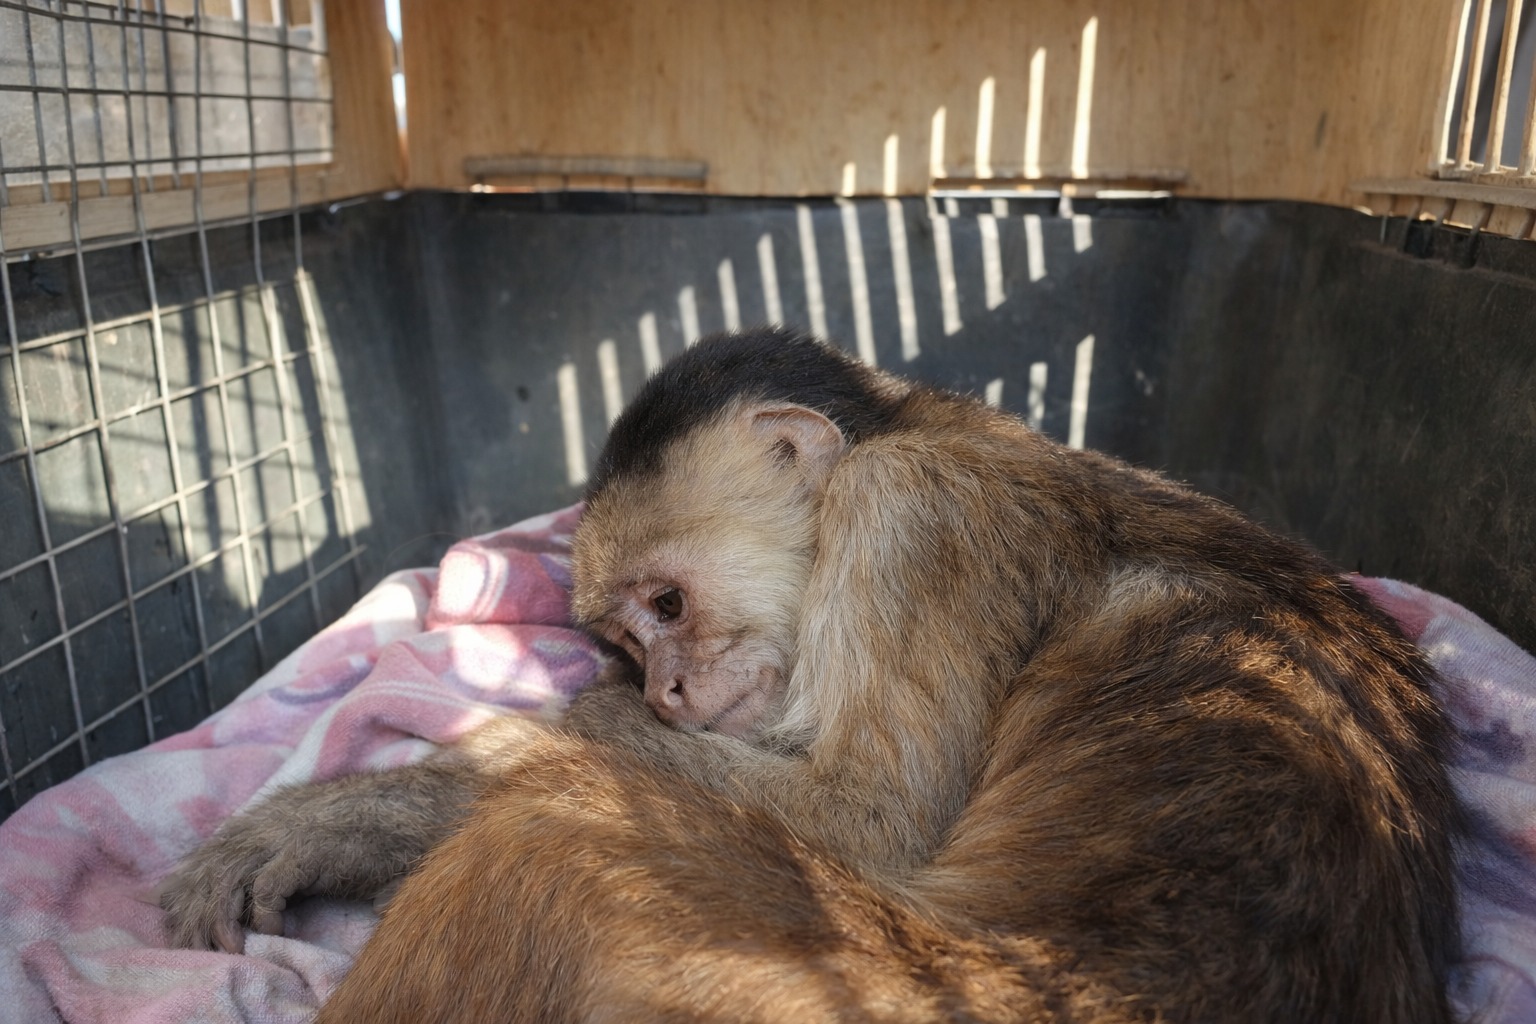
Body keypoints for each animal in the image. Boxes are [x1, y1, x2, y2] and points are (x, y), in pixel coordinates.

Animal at [161, 327, 1462, 1024]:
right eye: (630, 638)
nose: (663, 690)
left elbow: (873, 824)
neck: (917, 429)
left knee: (557, 831)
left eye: (670, 607)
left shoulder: (911, 511)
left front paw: (395, 792)